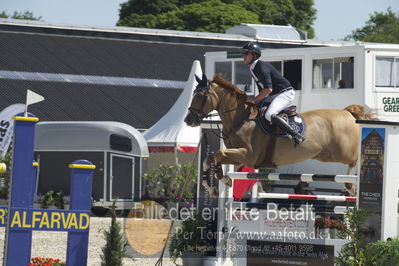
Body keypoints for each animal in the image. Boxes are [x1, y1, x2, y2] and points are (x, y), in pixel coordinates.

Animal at [186, 72, 376, 193]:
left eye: (201, 95)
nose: (188, 120)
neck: (240, 118)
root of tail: (347, 113)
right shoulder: (238, 157)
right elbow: (210, 159)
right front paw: (215, 184)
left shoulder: (248, 155)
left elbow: (218, 153)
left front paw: (220, 180)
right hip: (325, 155)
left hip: (342, 152)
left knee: (355, 160)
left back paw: (351, 186)